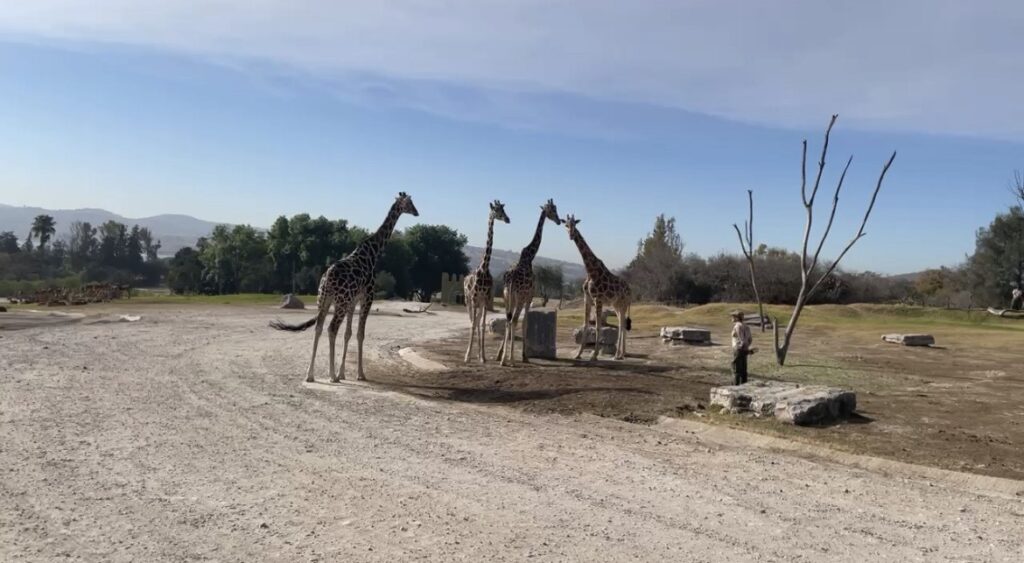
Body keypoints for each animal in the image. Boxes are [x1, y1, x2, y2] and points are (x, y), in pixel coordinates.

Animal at [270, 193, 421, 384]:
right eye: (409, 203)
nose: (417, 212)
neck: (373, 253)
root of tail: (327, 279)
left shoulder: (352, 301)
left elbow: (348, 333)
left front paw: (343, 373)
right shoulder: (367, 297)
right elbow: (360, 334)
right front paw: (360, 374)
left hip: (324, 301)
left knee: (319, 328)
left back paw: (310, 375)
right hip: (339, 303)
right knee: (331, 328)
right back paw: (331, 376)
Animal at [464, 200, 512, 364]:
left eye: (503, 209)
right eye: (497, 210)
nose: (507, 219)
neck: (484, 269)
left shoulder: (485, 298)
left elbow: (483, 325)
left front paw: (483, 357)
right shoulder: (474, 298)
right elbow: (474, 325)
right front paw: (467, 356)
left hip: (479, 302)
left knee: (478, 322)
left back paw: (478, 354)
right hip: (468, 301)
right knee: (472, 321)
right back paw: (469, 354)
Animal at [495, 198, 561, 366]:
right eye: (553, 210)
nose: (559, 221)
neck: (529, 256)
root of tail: (511, 278)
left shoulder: (518, 298)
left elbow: (516, 321)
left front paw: (502, 355)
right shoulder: (528, 296)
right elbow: (525, 323)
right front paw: (524, 356)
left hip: (507, 296)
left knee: (508, 320)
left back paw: (503, 358)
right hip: (517, 298)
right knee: (513, 321)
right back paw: (510, 359)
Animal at [561, 215, 630, 362]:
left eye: (575, 224)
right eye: (566, 225)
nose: (571, 235)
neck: (590, 271)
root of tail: (631, 289)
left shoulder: (598, 299)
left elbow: (598, 326)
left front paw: (594, 355)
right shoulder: (587, 299)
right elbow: (586, 325)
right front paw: (578, 354)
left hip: (623, 304)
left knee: (622, 325)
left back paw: (618, 355)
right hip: (616, 305)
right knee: (621, 324)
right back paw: (620, 354)